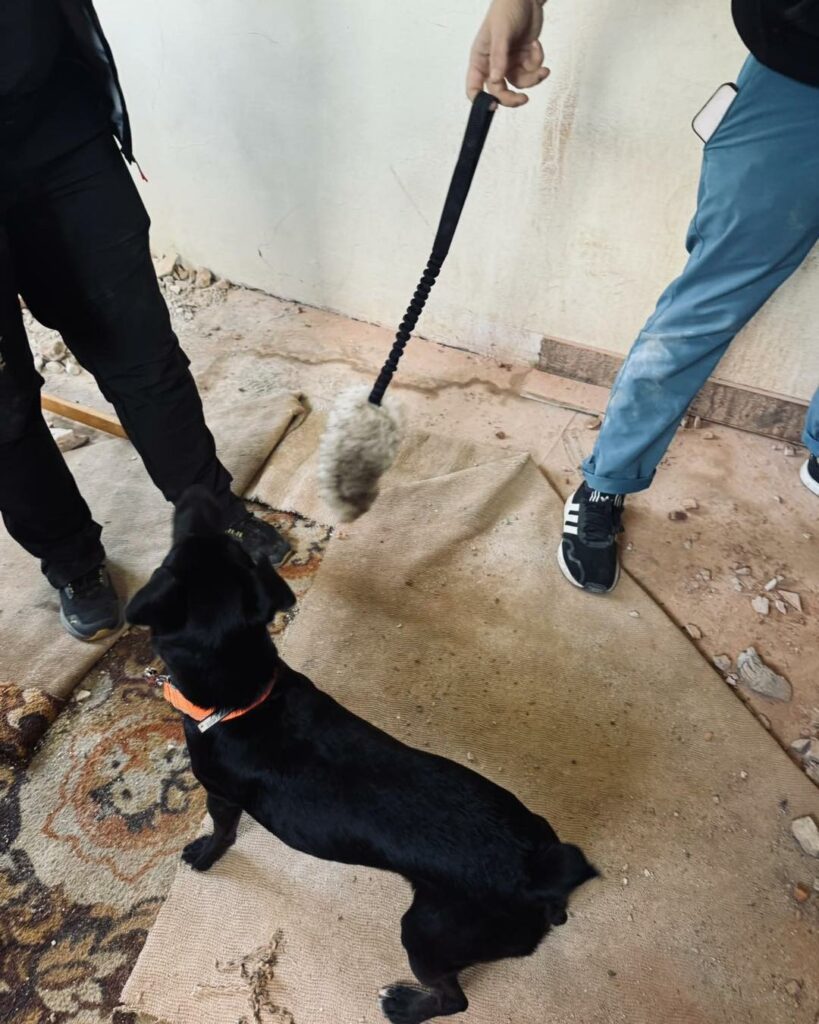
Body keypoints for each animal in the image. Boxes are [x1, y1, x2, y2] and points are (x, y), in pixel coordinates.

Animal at [126, 486, 598, 1024]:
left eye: (176, 551)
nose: (198, 491)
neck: (246, 693)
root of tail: (538, 873)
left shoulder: (220, 794)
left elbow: (223, 832)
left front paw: (204, 856)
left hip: (428, 932)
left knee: (454, 999)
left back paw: (403, 1005)